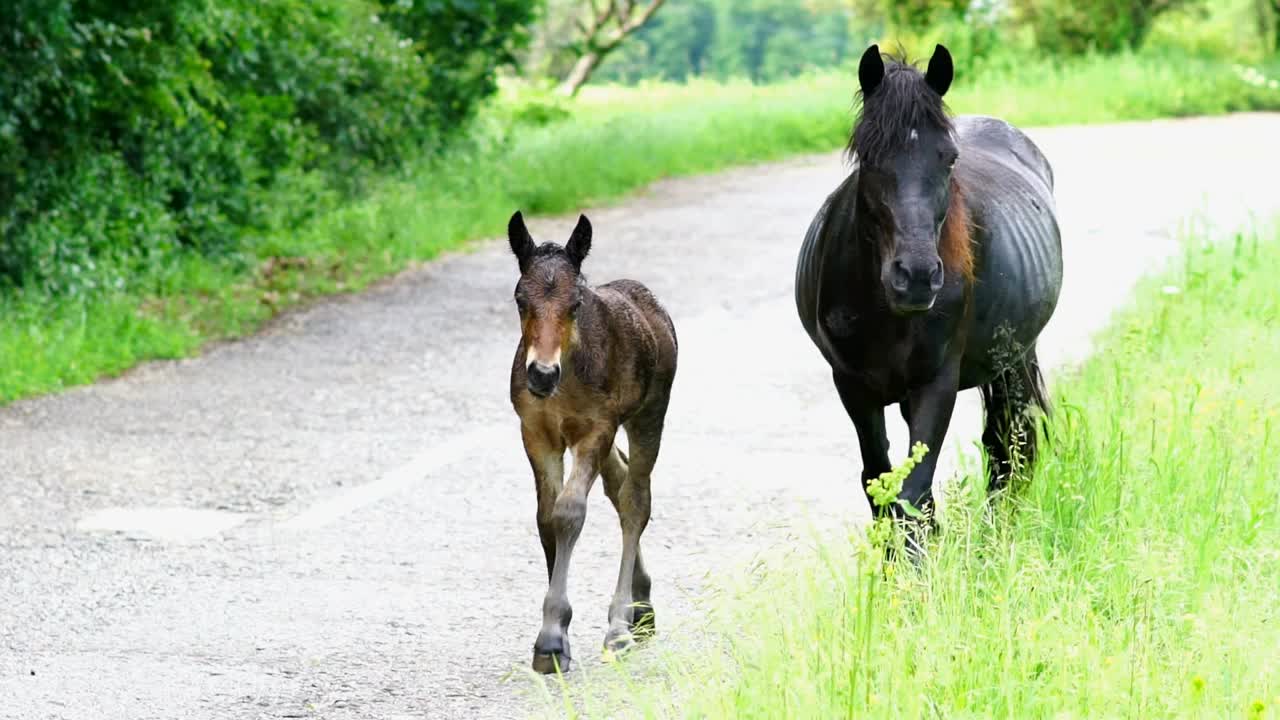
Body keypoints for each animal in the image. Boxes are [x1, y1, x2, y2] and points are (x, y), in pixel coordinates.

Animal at [506, 210, 680, 671]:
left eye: (575, 304)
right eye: (520, 299)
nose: (540, 374)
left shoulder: (596, 428)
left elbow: (569, 512)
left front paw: (552, 637)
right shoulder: (536, 433)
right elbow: (545, 517)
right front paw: (555, 635)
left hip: (648, 415)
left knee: (636, 500)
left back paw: (621, 625)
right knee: (618, 484)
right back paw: (642, 606)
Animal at [798, 46, 1059, 527]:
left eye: (949, 158)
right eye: (868, 156)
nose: (916, 277)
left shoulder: (936, 384)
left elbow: (913, 490)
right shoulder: (852, 386)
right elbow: (879, 483)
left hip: (1015, 357)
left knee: (1008, 441)